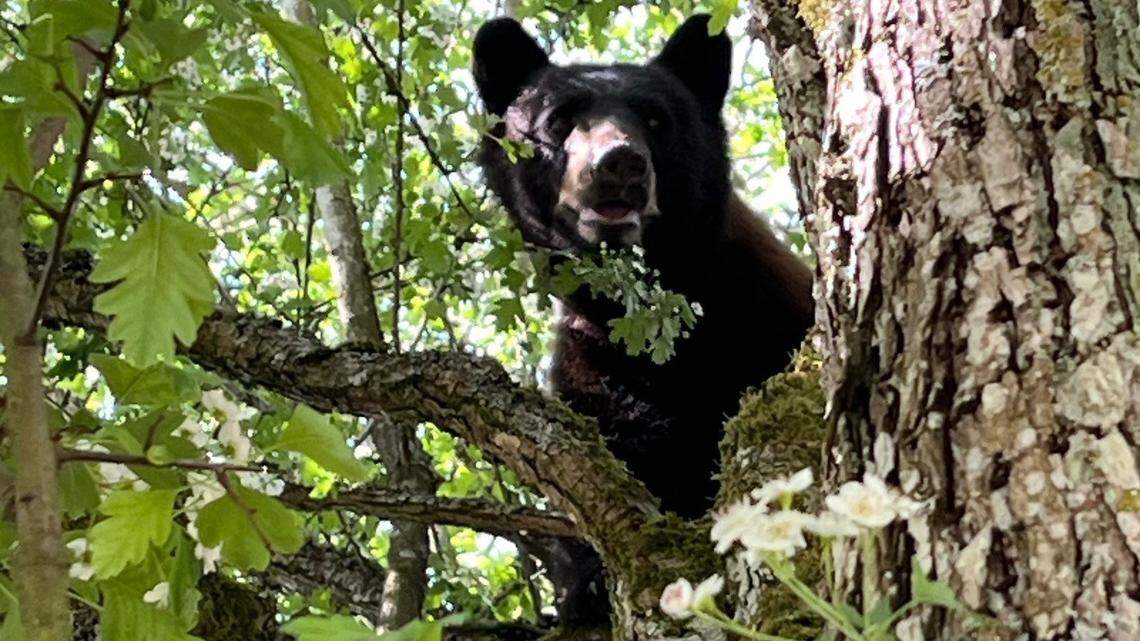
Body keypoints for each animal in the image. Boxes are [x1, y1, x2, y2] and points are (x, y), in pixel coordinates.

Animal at [472, 13, 813, 625]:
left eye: (656, 118)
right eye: (559, 119)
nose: (619, 163)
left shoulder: (768, 317)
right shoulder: (594, 363)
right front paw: (584, 589)